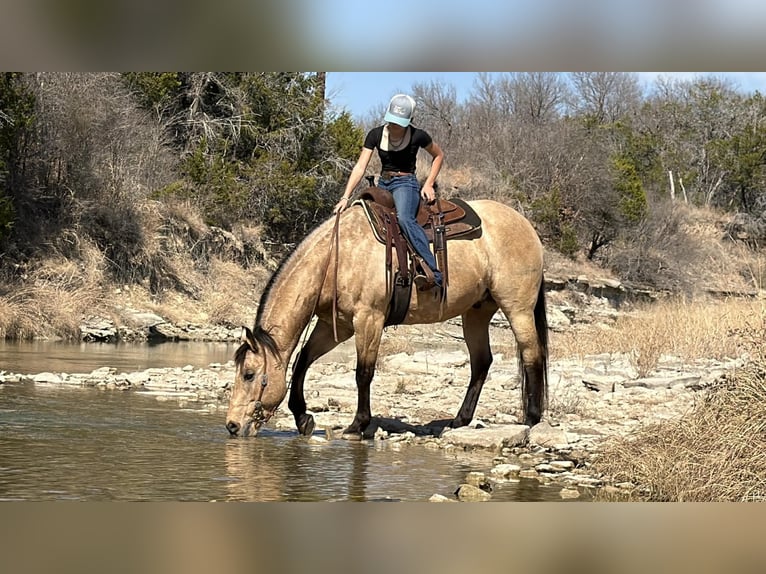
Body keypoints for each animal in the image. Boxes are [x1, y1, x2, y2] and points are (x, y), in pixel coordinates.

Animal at [225, 198, 549, 439]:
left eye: (249, 374)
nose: (231, 425)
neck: (335, 257)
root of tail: (526, 226)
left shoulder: (369, 318)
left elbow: (363, 372)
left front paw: (357, 425)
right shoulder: (336, 325)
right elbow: (302, 361)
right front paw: (304, 418)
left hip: (517, 308)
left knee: (531, 353)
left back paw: (531, 418)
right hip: (477, 313)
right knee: (481, 362)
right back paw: (460, 420)